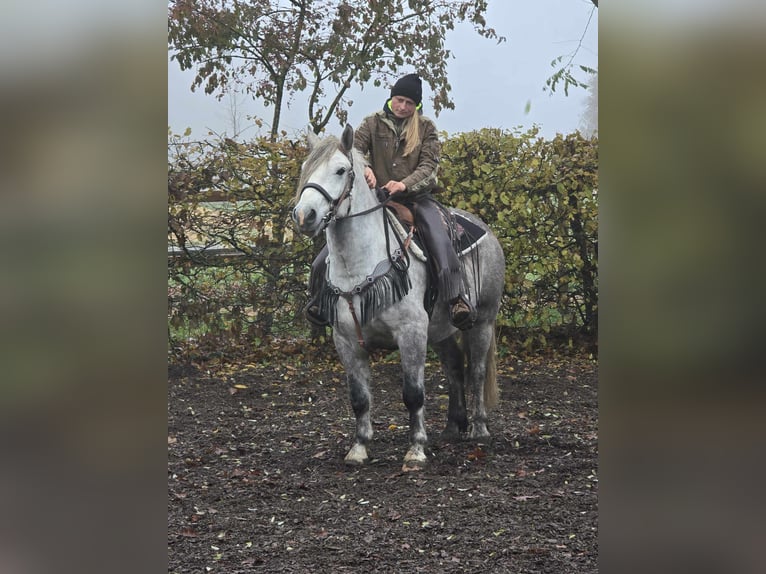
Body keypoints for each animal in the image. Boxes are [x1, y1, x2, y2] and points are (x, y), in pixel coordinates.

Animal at [292, 125, 508, 472]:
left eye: (340, 170)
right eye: (306, 169)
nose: (304, 215)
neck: (362, 262)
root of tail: (484, 228)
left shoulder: (411, 333)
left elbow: (413, 394)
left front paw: (416, 449)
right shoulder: (346, 340)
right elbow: (359, 398)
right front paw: (359, 447)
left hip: (483, 322)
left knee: (475, 371)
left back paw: (478, 429)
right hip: (440, 330)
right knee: (454, 368)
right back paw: (453, 427)